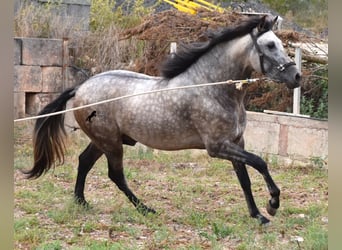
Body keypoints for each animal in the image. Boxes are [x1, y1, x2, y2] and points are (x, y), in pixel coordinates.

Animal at [25, 15, 300, 225]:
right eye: (270, 45)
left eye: (280, 44)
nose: (296, 76)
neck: (211, 88)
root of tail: (81, 87)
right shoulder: (217, 147)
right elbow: (260, 163)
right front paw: (273, 204)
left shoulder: (236, 143)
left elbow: (244, 179)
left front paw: (258, 215)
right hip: (111, 143)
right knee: (115, 175)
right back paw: (145, 209)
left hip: (104, 140)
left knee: (84, 162)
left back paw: (81, 202)